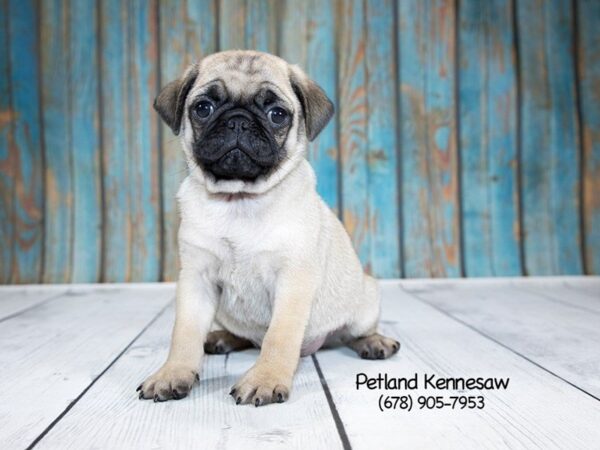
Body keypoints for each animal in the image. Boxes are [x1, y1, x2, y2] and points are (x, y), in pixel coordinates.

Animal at [136, 51, 398, 406]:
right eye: (203, 108)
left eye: (277, 114)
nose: (238, 121)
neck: (238, 199)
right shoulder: (196, 279)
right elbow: (184, 334)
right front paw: (173, 373)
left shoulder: (292, 281)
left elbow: (279, 337)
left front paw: (266, 378)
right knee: (244, 336)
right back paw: (223, 337)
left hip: (365, 299)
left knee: (352, 332)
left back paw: (374, 342)